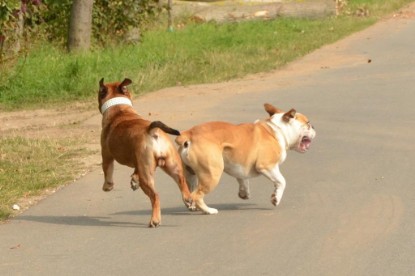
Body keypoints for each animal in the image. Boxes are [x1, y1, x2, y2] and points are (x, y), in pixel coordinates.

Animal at [98, 78, 193, 229]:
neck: (119, 110)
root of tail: (152, 131)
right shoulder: (138, 160)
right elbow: (135, 171)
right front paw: (134, 180)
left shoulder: (106, 155)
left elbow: (108, 171)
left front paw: (108, 186)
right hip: (172, 166)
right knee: (182, 182)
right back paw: (188, 200)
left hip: (147, 176)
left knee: (155, 196)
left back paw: (155, 220)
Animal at [175, 103, 316, 213]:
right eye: (308, 124)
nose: (314, 127)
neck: (277, 130)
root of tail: (189, 134)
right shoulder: (267, 166)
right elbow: (281, 181)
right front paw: (276, 198)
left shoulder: (240, 166)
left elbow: (243, 180)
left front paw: (244, 193)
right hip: (212, 174)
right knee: (197, 195)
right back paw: (209, 210)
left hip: (190, 175)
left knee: (188, 192)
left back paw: (191, 206)